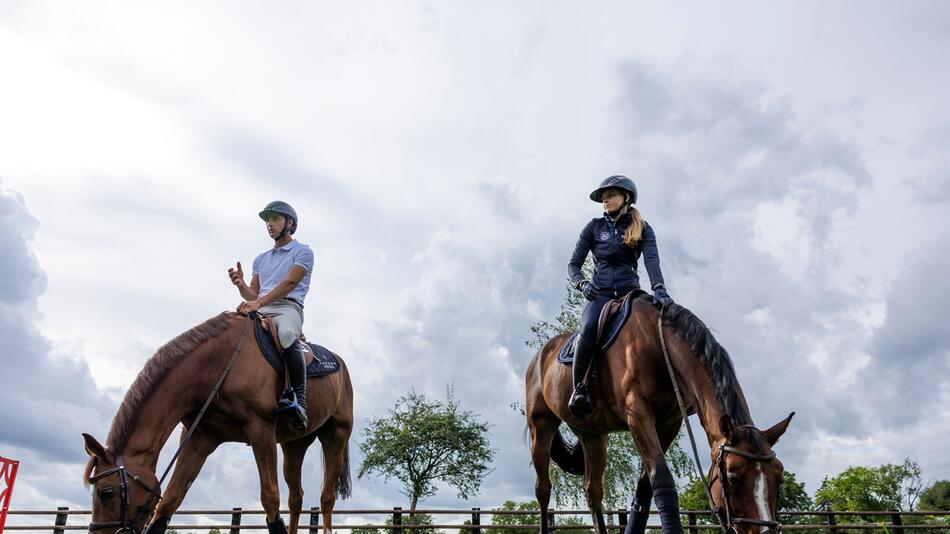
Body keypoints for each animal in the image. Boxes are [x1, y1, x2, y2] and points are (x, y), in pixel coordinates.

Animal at [81, 312, 354, 534]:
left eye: (106, 492)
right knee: (296, 498)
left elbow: (270, 498)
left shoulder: (261, 431)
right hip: (294, 445)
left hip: (336, 437)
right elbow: (170, 500)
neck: (219, 366)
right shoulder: (200, 438)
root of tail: (340, 363)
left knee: (327, 498)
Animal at [528, 298, 796, 534]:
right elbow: (661, 477)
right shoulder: (638, 415)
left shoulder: (669, 423)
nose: (765, 531)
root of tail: (541, 354)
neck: (659, 348)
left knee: (593, 491)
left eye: (779, 478)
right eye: (733, 478)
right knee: (543, 488)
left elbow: (645, 486)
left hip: (593, 436)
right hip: (541, 427)